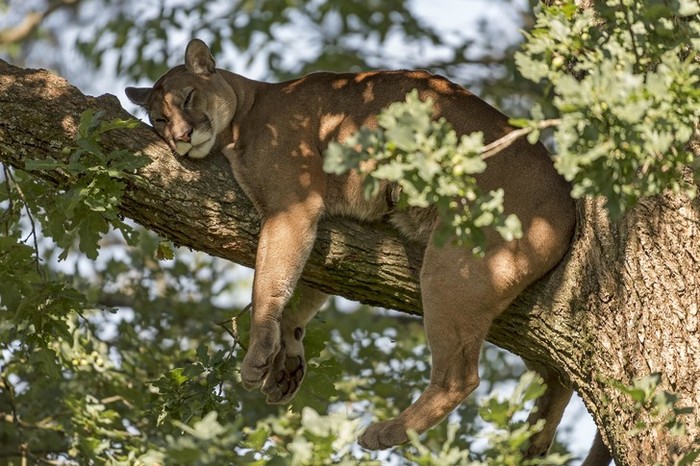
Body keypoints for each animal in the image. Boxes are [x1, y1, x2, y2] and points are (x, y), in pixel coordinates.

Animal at [126, 38, 608, 460]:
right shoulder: (326, 226)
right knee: (557, 374)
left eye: (188, 98)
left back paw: (388, 431)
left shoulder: (291, 207)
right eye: (158, 119)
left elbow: (269, 282)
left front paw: (259, 352)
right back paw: (533, 442)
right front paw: (286, 360)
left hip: (455, 270)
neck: (246, 112)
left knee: (460, 377)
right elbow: (300, 290)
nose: (181, 136)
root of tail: (567, 198)